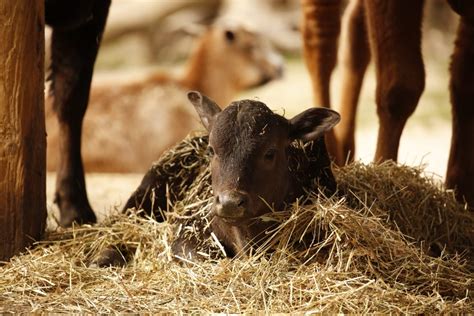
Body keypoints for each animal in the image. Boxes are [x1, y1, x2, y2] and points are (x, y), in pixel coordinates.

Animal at [300, 0, 474, 206]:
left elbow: (464, 85)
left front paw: (460, 196)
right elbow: (400, 87)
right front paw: (387, 176)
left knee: (355, 29)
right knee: (321, 35)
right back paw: (328, 151)